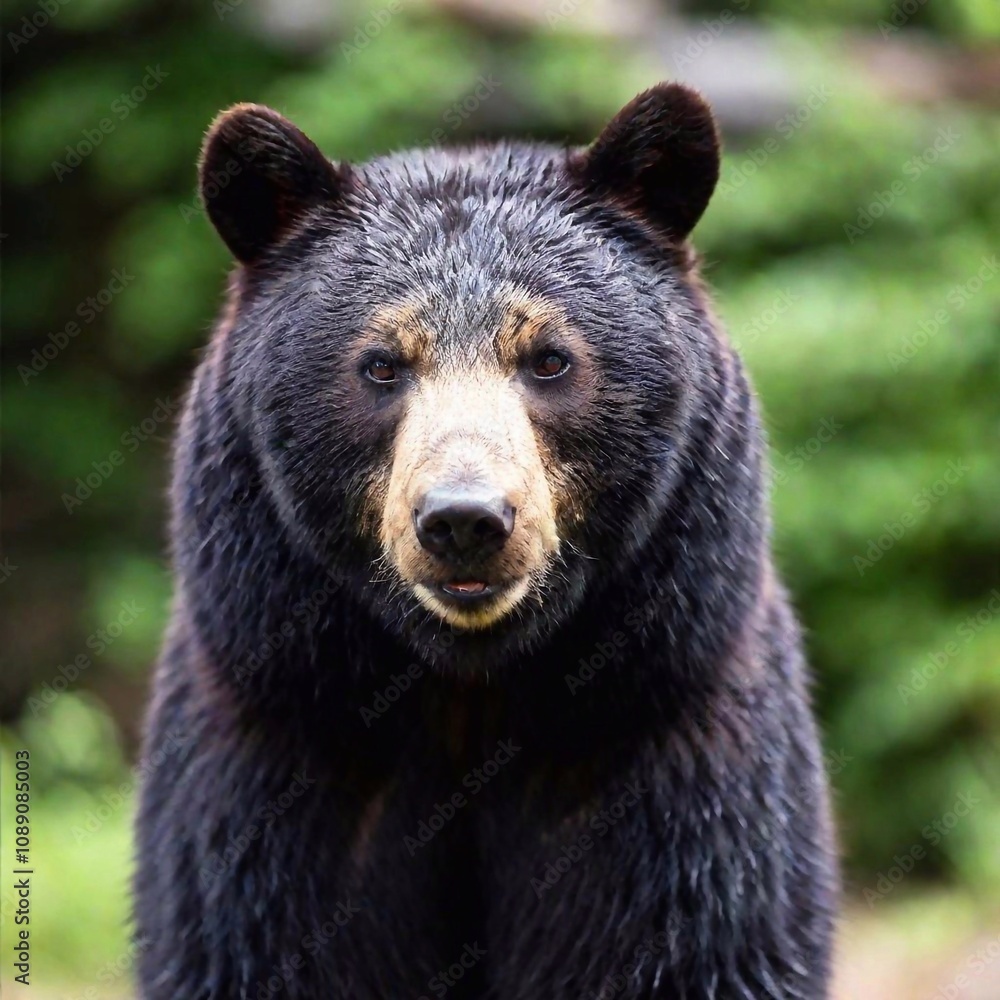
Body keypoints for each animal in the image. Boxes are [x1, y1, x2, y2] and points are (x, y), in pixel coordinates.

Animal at [133, 82, 836, 996]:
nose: (464, 519)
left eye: (548, 357)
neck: (470, 696)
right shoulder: (277, 753)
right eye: (381, 363)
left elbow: (706, 935)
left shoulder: (669, 751)